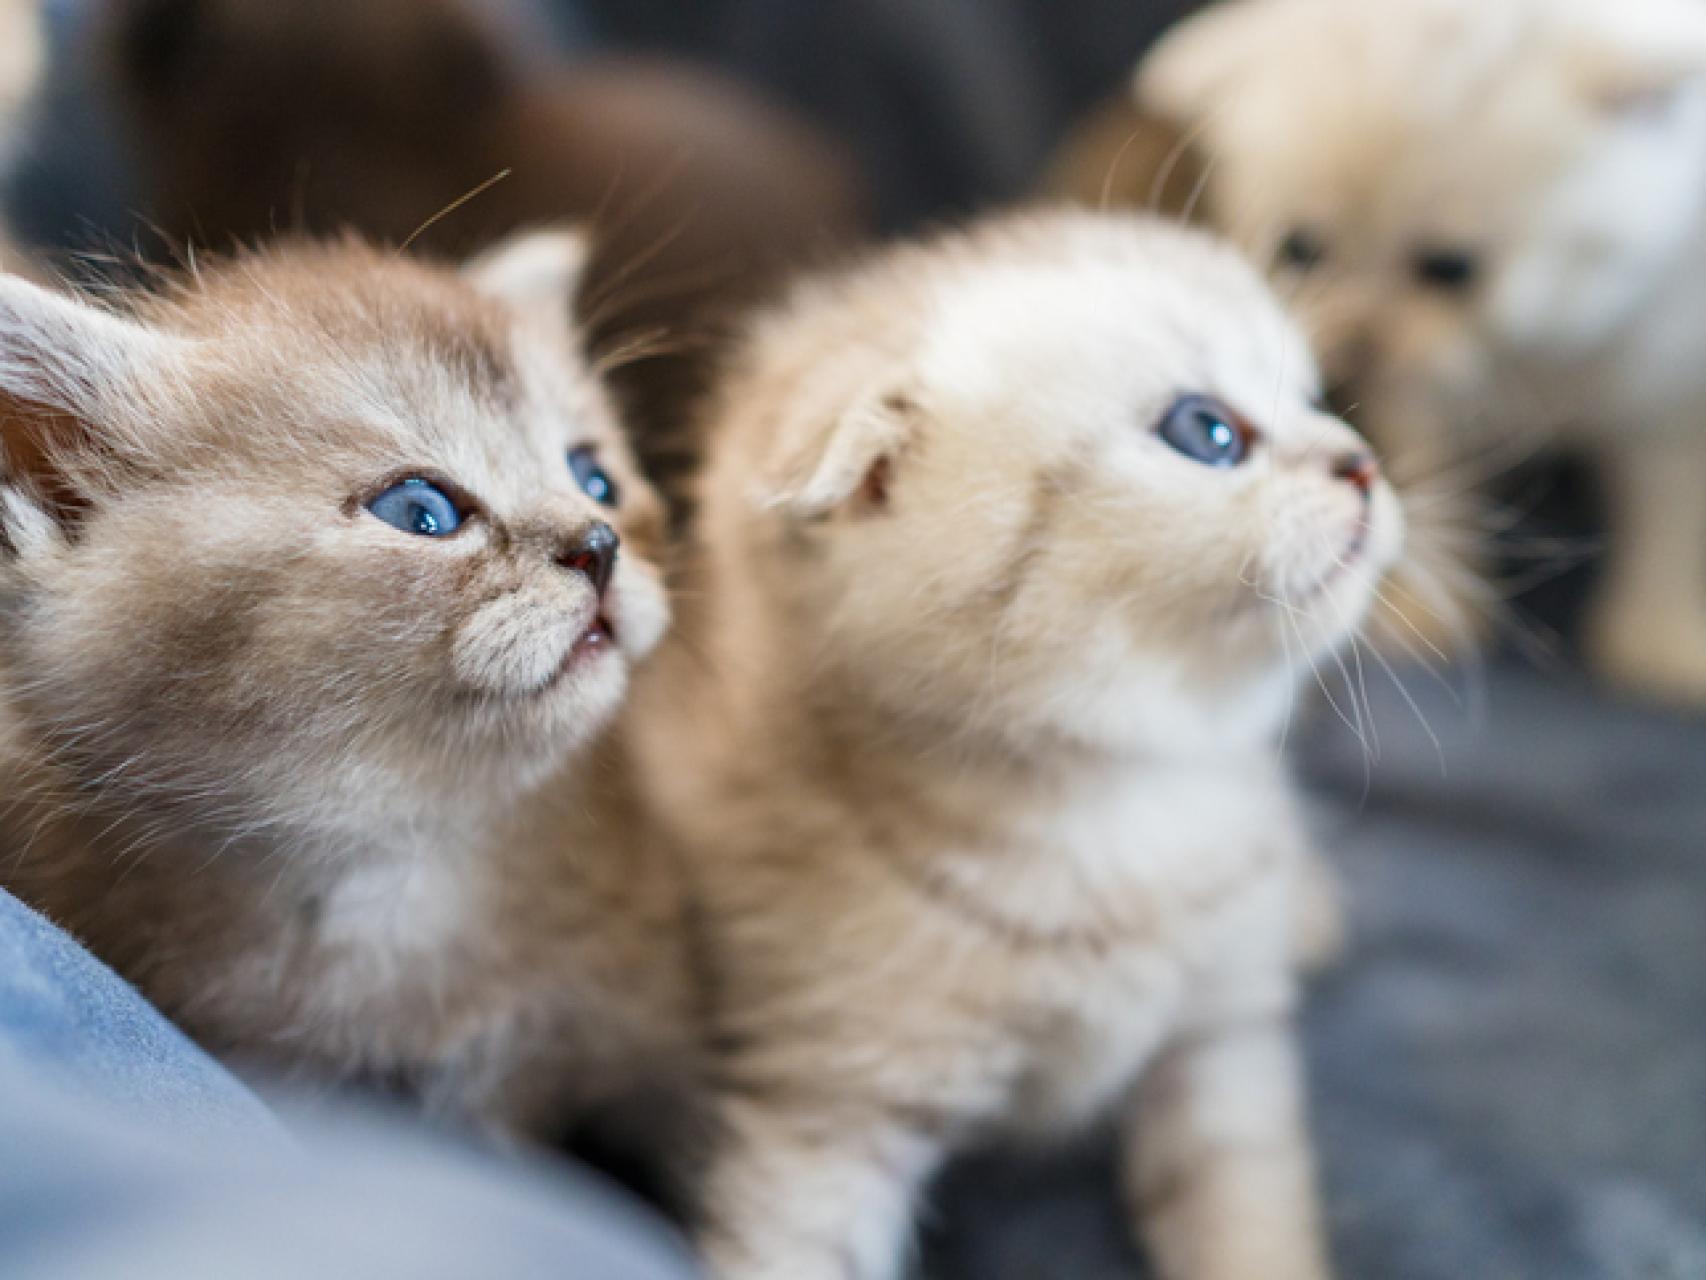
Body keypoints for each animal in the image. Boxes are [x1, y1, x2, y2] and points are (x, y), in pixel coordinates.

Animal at [634, 213, 1405, 1280]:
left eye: (1316, 400)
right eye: (1206, 431)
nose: (1363, 461)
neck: (1112, 815)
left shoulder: (1222, 1041)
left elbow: (1246, 1218)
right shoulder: (825, 1104)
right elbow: (791, 1248)